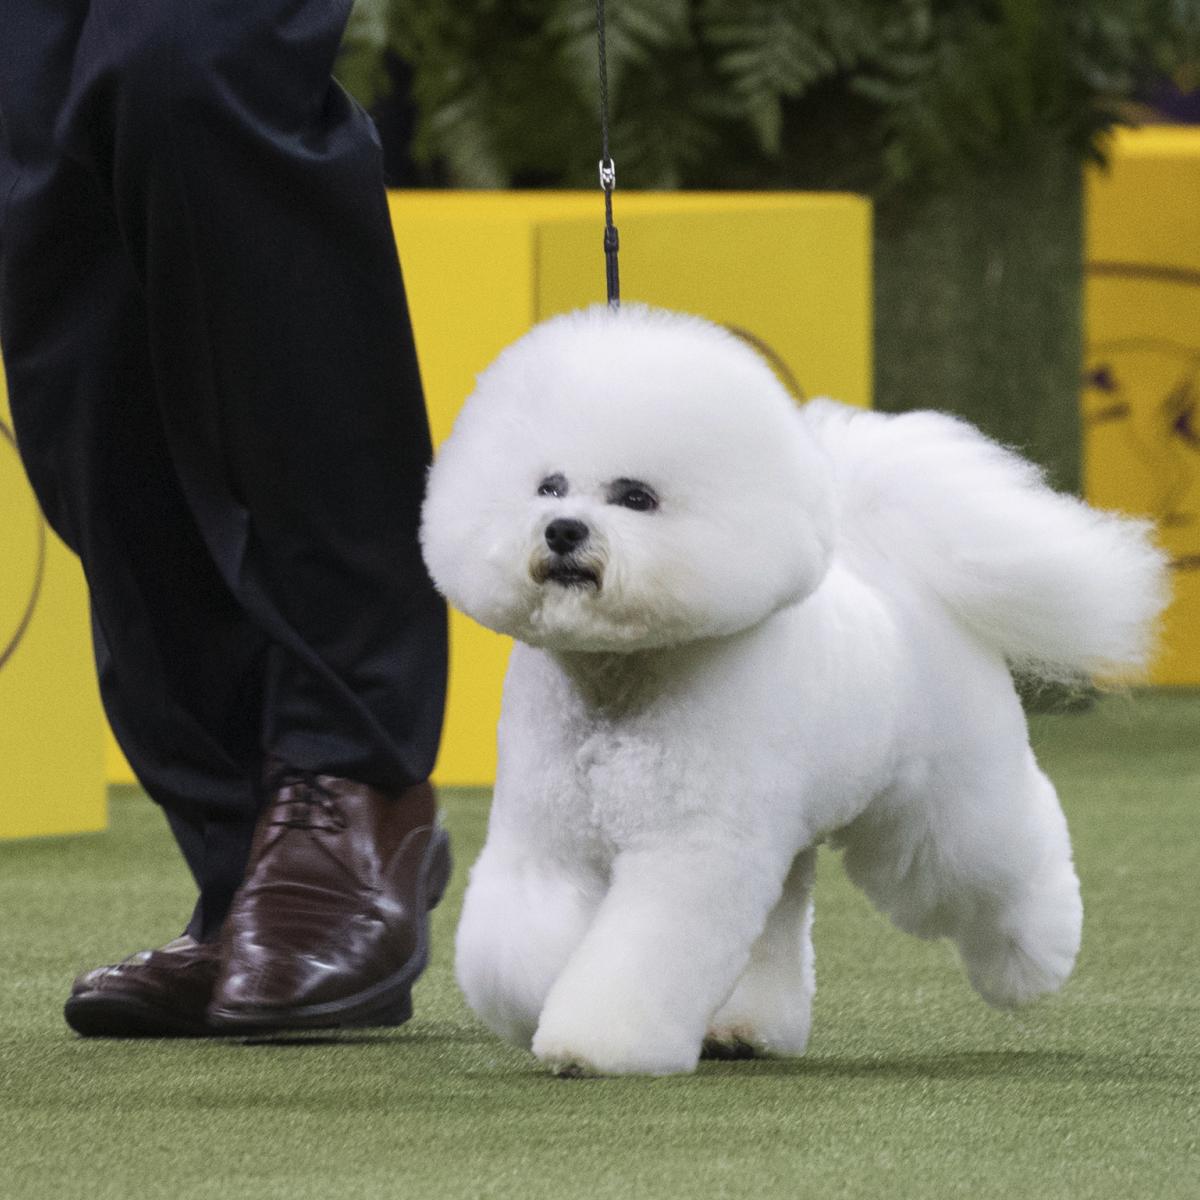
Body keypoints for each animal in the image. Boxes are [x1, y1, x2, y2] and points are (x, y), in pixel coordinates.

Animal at [420, 304, 1161, 1075]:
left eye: (636, 497)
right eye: (550, 486)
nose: (563, 531)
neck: (617, 685)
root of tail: (901, 577)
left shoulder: (691, 850)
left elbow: (643, 956)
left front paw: (595, 1044)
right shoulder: (546, 840)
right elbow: (516, 946)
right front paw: (539, 1000)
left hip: (942, 805)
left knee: (1000, 858)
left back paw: (1030, 963)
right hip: (790, 834)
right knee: (779, 922)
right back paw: (743, 1028)